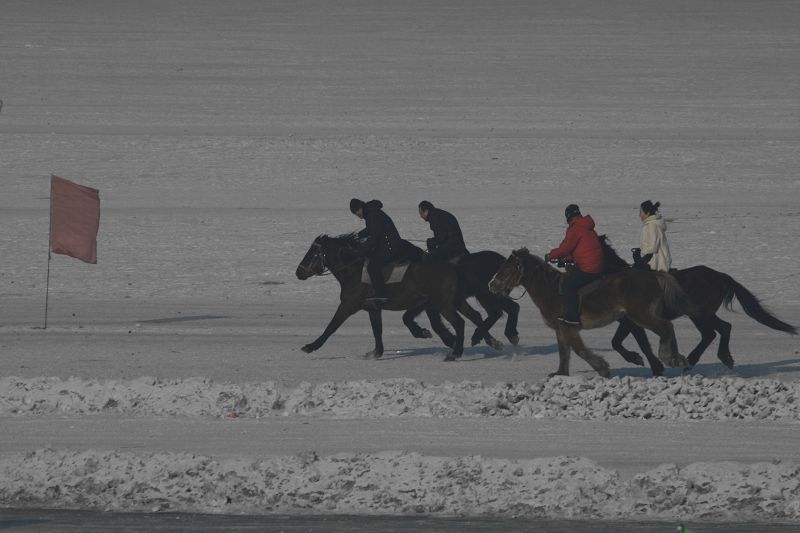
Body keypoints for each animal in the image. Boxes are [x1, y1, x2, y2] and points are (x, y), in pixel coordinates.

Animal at [484, 248, 696, 376]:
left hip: (641, 315)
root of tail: (654, 276)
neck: (551, 290)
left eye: (508, 267)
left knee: (666, 326)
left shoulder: (568, 327)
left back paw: (670, 357)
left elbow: (579, 350)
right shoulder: (560, 329)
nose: (491, 285)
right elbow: (564, 352)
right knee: (666, 328)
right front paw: (560, 373)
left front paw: (602, 368)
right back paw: (677, 359)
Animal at [600, 237, 792, 374]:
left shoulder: (629, 321)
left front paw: (641, 361)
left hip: (699, 314)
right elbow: (623, 341)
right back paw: (725, 358)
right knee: (724, 327)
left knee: (710, 333)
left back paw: (692, 361)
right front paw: (641, 360)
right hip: (706, 314)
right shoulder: (629, 321)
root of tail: (720, 276)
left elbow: (623, 342)